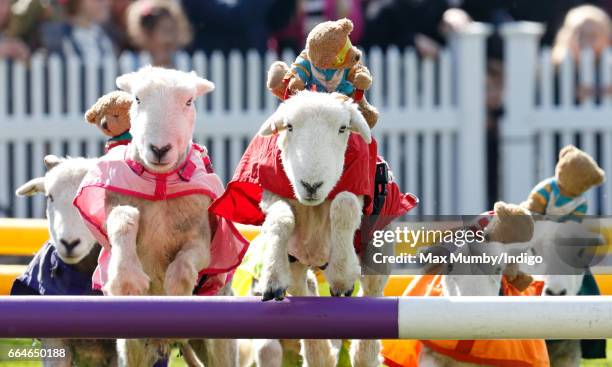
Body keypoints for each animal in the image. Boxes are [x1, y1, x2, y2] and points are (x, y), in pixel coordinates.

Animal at [73, 66, 243, 367]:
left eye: (189, 101)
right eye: (137, 99)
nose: (159, 149)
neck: (160, 182)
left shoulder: (202, 240)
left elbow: (186, 264)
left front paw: (176, 292)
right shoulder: (114, 210)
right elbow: (123, 219)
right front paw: (128, 280)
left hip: (218, 344)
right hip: (132, 347)